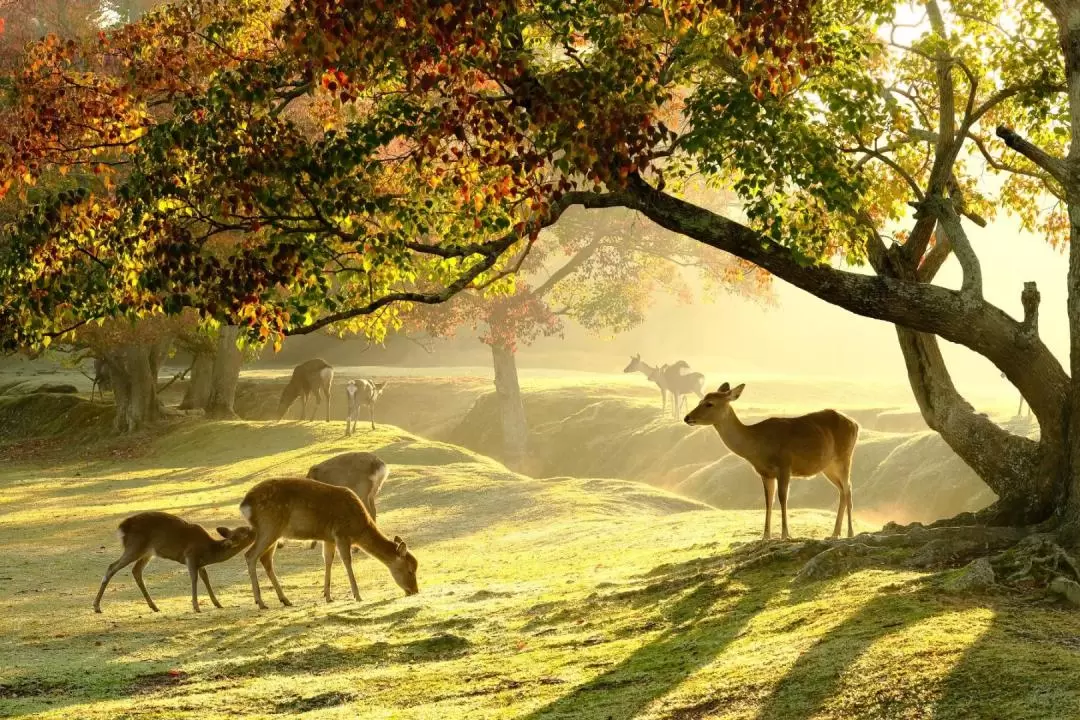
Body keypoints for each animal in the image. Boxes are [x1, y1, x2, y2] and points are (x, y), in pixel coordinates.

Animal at [90, 511, 254, 613]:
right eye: (245, 532)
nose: (253, 529)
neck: (209, 551)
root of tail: (122, 528)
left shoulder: (200, 563)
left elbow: (205, 578)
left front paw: (218, 604)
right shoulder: (190, 556)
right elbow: (194, 579)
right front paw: (196, 607)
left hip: (147, 552)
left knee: (136, 570)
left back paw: (154, 606)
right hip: (134, 547)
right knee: (112, 567)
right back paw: (97, 606)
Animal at [238, 479, 419, 608]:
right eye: (410, 570)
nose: (414, 591)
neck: (359, 529)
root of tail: (244, 505)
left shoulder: (328, 538)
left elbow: (328, 560)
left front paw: (327, 596)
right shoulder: (341, 534)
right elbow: (347, 562)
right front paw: (357, 596)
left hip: (273, 533)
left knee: (265, 560)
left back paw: (285, 599)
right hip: (269, 526)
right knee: (250, 555)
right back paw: (260, 602)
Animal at [682, 382, 859, 539]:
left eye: (709, 403)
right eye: (700, 401)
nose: (687, 417)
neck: (757, 445)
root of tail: (856, 424)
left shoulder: (785, 465)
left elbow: (782, 498)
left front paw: (785, 535)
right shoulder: (765, 473)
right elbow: (768, 501)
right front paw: (765, 536)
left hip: (844, 457)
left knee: (848, 489)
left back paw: (850, 533)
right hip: (828, 466)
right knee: (842, 490)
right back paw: (835, 534)